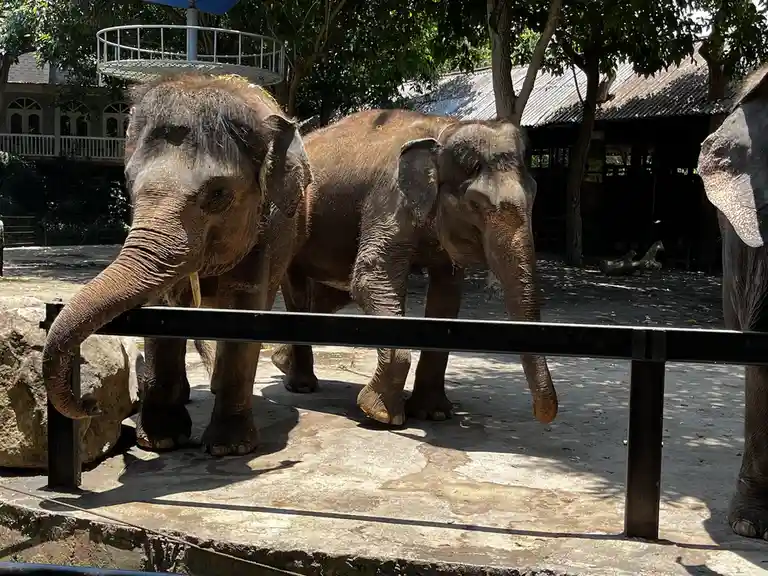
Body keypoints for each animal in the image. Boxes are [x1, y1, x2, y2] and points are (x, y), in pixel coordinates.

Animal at [42, 73, 312, 457]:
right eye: (128, 183)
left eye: (218, 195)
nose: (91, 405)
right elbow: (163, 309)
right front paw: (161, 441)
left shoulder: (267, 232)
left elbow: (245, 311)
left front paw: (229, 448)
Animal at [269, 109, 558, 427]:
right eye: (476, 205)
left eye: (534, 195)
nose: (541, 416)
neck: (444, 129)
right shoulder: (390, 196)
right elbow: (370, 278)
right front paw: (380, 414)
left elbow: (447, 298)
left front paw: (434, 413)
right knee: (298, 292)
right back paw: (300, 385)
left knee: (329, 296)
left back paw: (281, 362)